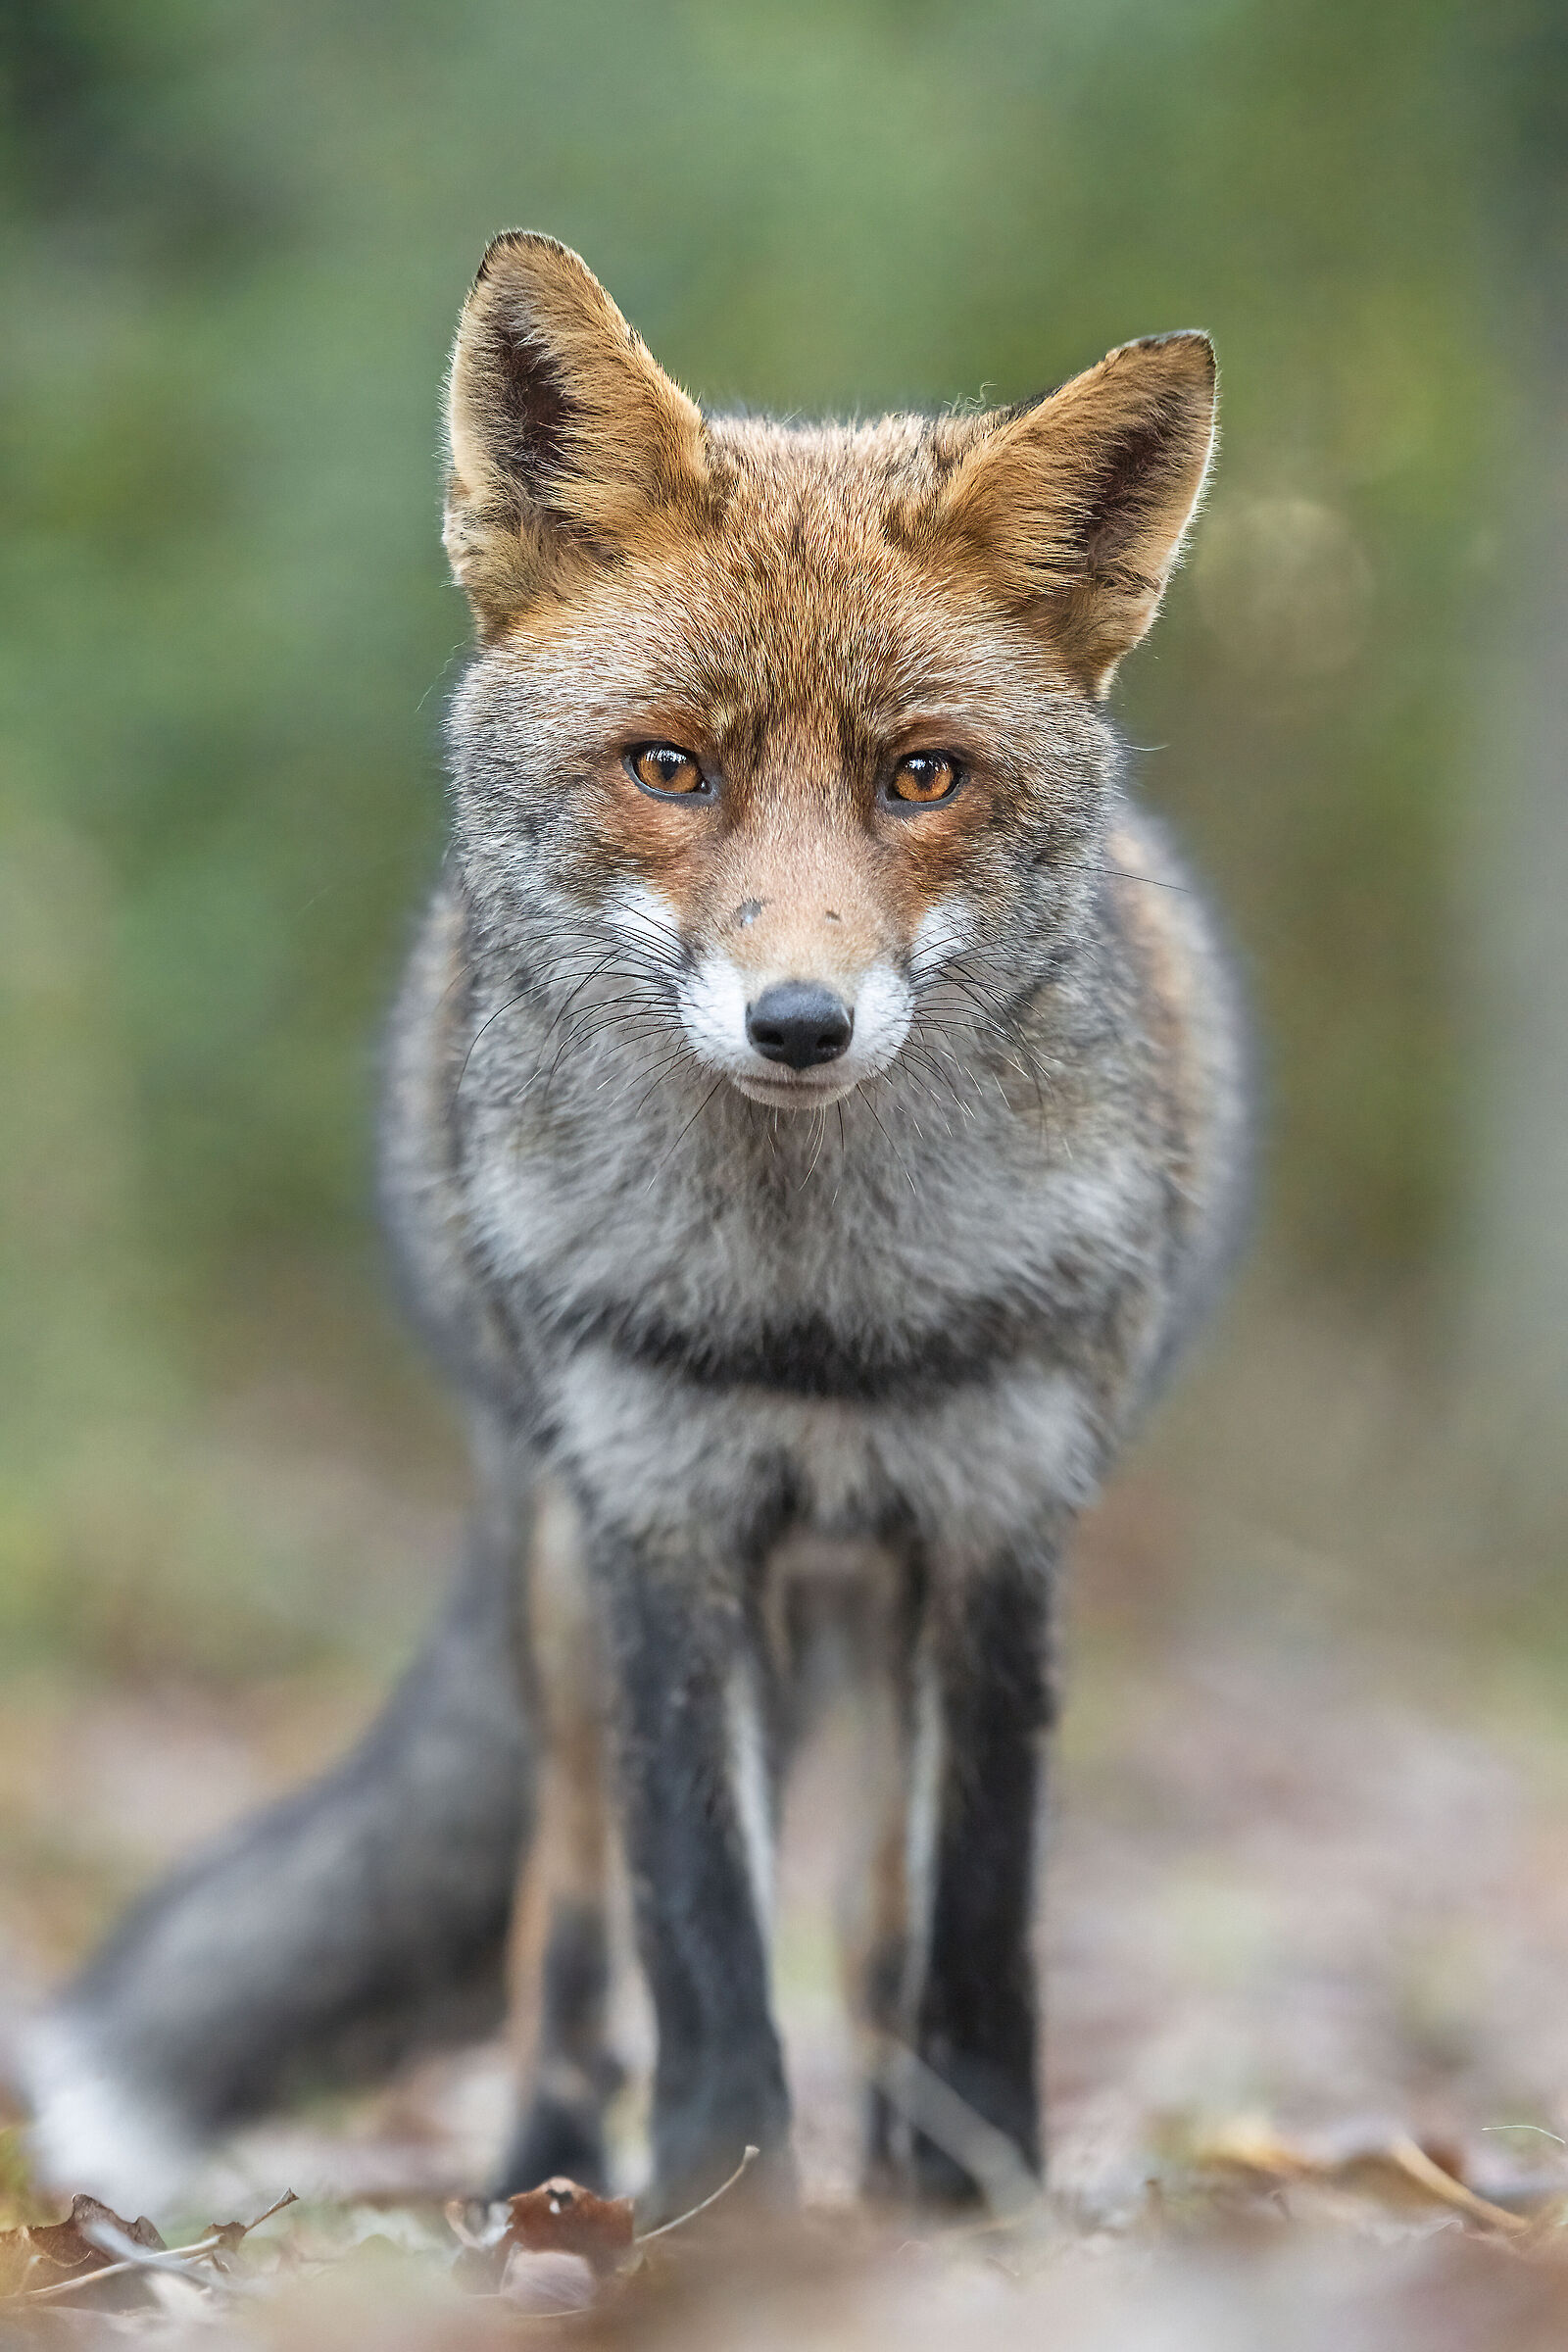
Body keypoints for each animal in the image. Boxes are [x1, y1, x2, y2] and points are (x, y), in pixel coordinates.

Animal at [26, 233, 1249, 2221]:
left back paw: (891, 2168)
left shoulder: (999, 1518)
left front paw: (974, 2204)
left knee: (878, 1921)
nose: (801, 1024)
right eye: (671, 769)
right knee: (566, 1929)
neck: (817, 1317)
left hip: (869, 1606)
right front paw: (720, 2212)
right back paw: (545, 2180)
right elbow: (697, 1936)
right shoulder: (659, 1518)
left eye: (922, 778)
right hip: (563, 1575)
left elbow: (976, 1926)